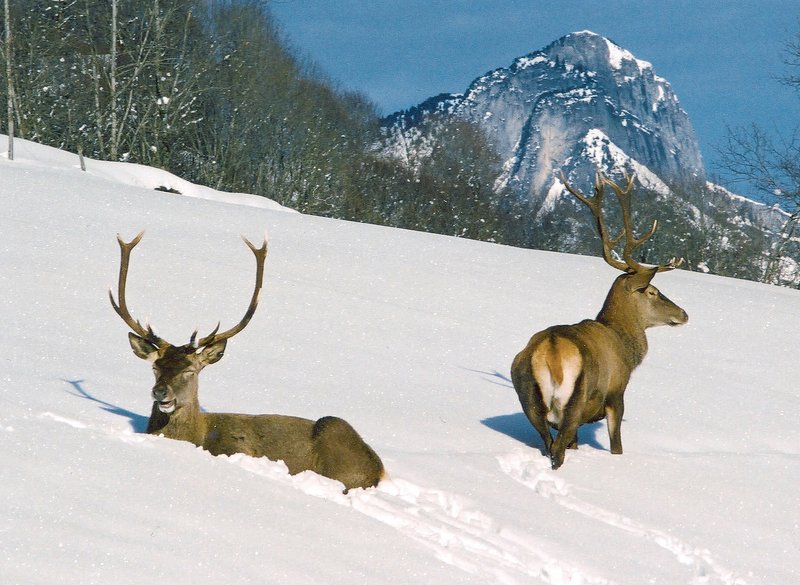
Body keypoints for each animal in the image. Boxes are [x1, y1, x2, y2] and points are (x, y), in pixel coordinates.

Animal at [110, 231, 385, 491]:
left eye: (190, 370)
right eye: (155, 367)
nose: (160, 392)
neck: (197, 436)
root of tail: (379, 469)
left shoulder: (239, 449)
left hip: (335, 438)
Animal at [510, 171, 688, 470]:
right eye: (652, 291)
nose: (684, 314)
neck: (627, 347)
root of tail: (551, 349)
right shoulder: (617, 391)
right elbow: (617, 446)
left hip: (528, 397)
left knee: (548, 441)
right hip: (575, 399)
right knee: (558, 449)